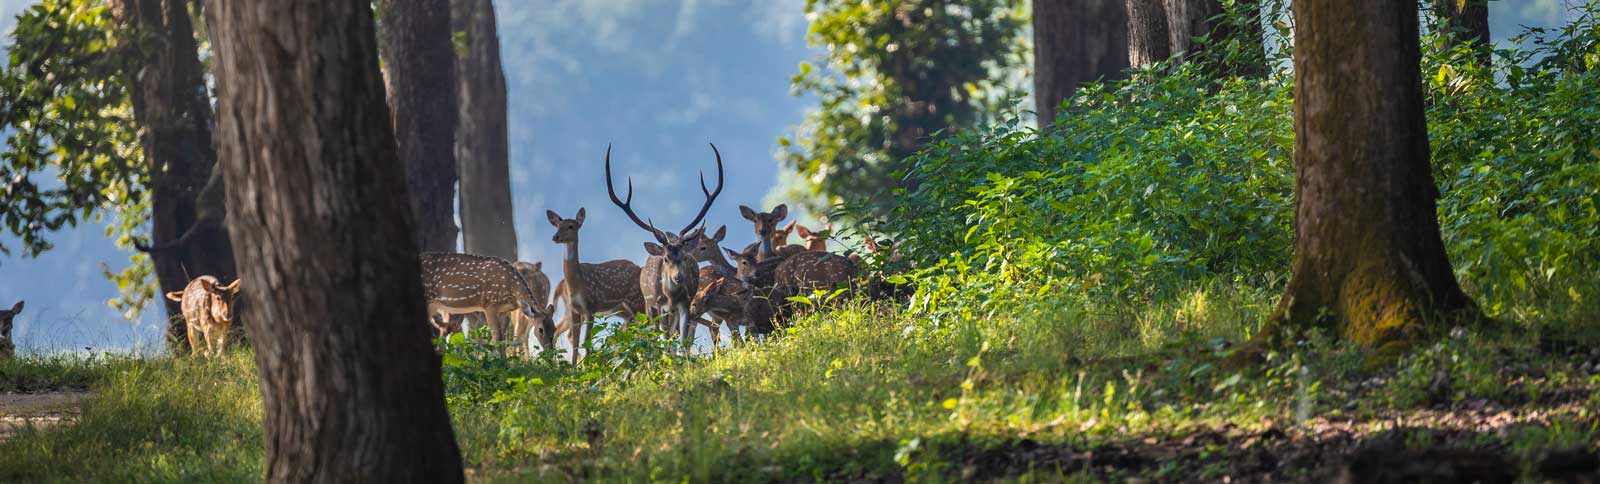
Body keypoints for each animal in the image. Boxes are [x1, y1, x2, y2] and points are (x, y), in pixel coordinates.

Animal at [547, 206, 646, 360]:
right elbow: (576, 343)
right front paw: (575, 365)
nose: (555, 237)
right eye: (557, 226)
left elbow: (587, 341)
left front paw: (587, 363)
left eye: (571, 226)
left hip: (636, 299)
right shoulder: (575, 309)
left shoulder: (591, 306)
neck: (577, 282)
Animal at [608, 143, 729, 350]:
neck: (671, 297)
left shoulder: (685, 304)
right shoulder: (658, 306)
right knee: (655, 333)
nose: (678, 277)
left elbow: (682, 339)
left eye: (686, 257)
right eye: (665, 258)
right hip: (648, 306)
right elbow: (664, 339)